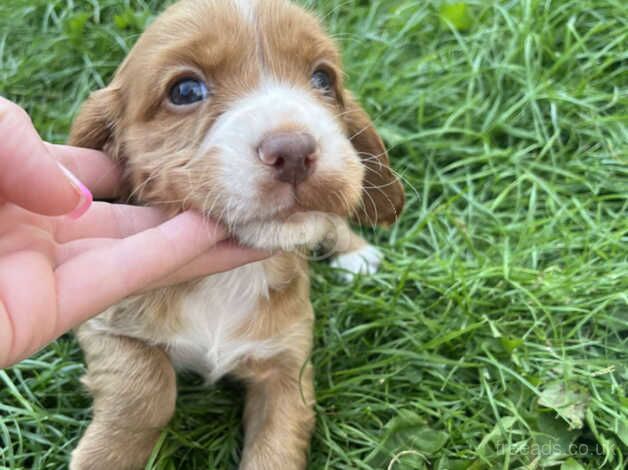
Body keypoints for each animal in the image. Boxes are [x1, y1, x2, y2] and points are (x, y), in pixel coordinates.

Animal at [67, 1, 402, 468]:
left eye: (323, 79)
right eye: (185, 91)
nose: (294, 151)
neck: (225, 278)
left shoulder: (289, 364)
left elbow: (277, 446)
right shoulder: (103, 322)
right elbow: (146, 387)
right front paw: (107, 455)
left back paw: (356, 254)